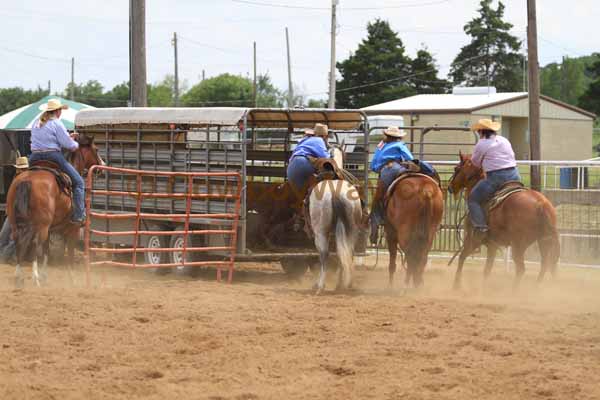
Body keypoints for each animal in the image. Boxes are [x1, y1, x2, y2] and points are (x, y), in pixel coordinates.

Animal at [7, 135, 104, 288]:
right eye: (96, 149)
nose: (102, 166)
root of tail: (26, 180)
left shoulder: (51, 229)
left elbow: (47, 250)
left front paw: (45, 275)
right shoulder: (73, 229)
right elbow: (70, 253)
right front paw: (72, 278)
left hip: (16, 222)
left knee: (18, 242)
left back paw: (19, 277)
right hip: (41, 226)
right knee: (34, 244)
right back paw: (35, 278)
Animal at [450, 152, 564, 290]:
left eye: (456, 168)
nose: (450, 187)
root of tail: (541, 203)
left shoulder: (472, 240)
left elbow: (462, 257)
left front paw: (456, 285)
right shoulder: (492, 245)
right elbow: (487, 269)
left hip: (519, 244)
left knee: (521, 269)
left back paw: (514, 291)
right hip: (544, 241)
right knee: (547, 265)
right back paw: (536, 288)